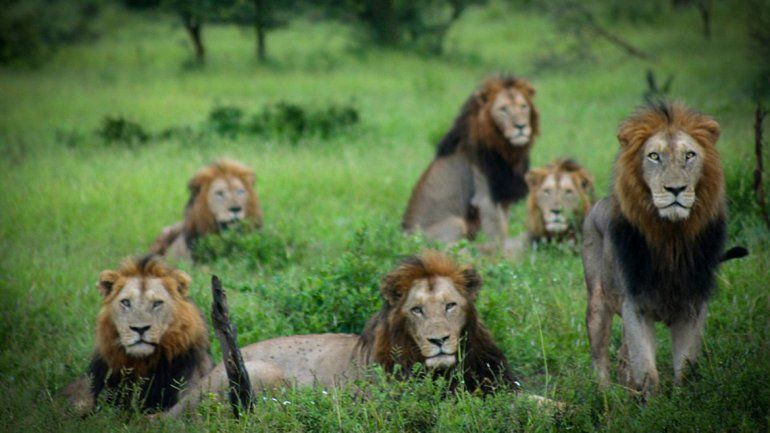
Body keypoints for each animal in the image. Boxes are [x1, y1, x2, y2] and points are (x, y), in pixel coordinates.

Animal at [402, 76, 539, 247]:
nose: (521, 126)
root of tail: (402, 237)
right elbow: (498, 234)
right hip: (455, 223)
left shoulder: (502, 196)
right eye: (504, 109)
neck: (507, 150)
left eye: (523, 107)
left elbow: (504, 228)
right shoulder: (485, 198)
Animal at [582, 102, 746, 397]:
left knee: (622, 355)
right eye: (654, 156)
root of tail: (596, 206)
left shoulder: (693, 306)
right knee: (600, 357)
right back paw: (607, 396)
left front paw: (683, 401)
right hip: (598, 303)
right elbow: (647, 372)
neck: (671, 238)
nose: (676, 189)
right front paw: (653, 404)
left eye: (690, 155)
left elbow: (686, 367)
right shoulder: (635, 305)